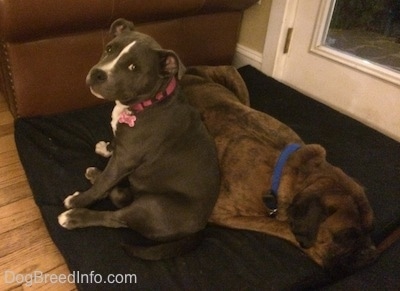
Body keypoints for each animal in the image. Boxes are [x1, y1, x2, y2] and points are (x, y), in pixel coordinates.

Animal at [57, 18, 220, 260]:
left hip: (152, 206)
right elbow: (112, 156)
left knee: (115, 218)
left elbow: (105, 181)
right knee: (120, 196)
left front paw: (79, 200)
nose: (98, 73)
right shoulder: (122, 153)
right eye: (109, 49)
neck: (150, 102)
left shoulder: (126, 159)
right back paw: (97, 174)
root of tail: (201, 228)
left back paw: (75, 216)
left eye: (133, 68)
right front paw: (106, 149)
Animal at [181, 66, 378, 276]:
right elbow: (280, 225)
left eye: (370, 230)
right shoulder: (222, 214)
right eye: (346, 236)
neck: (294, 170)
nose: (371, 254)